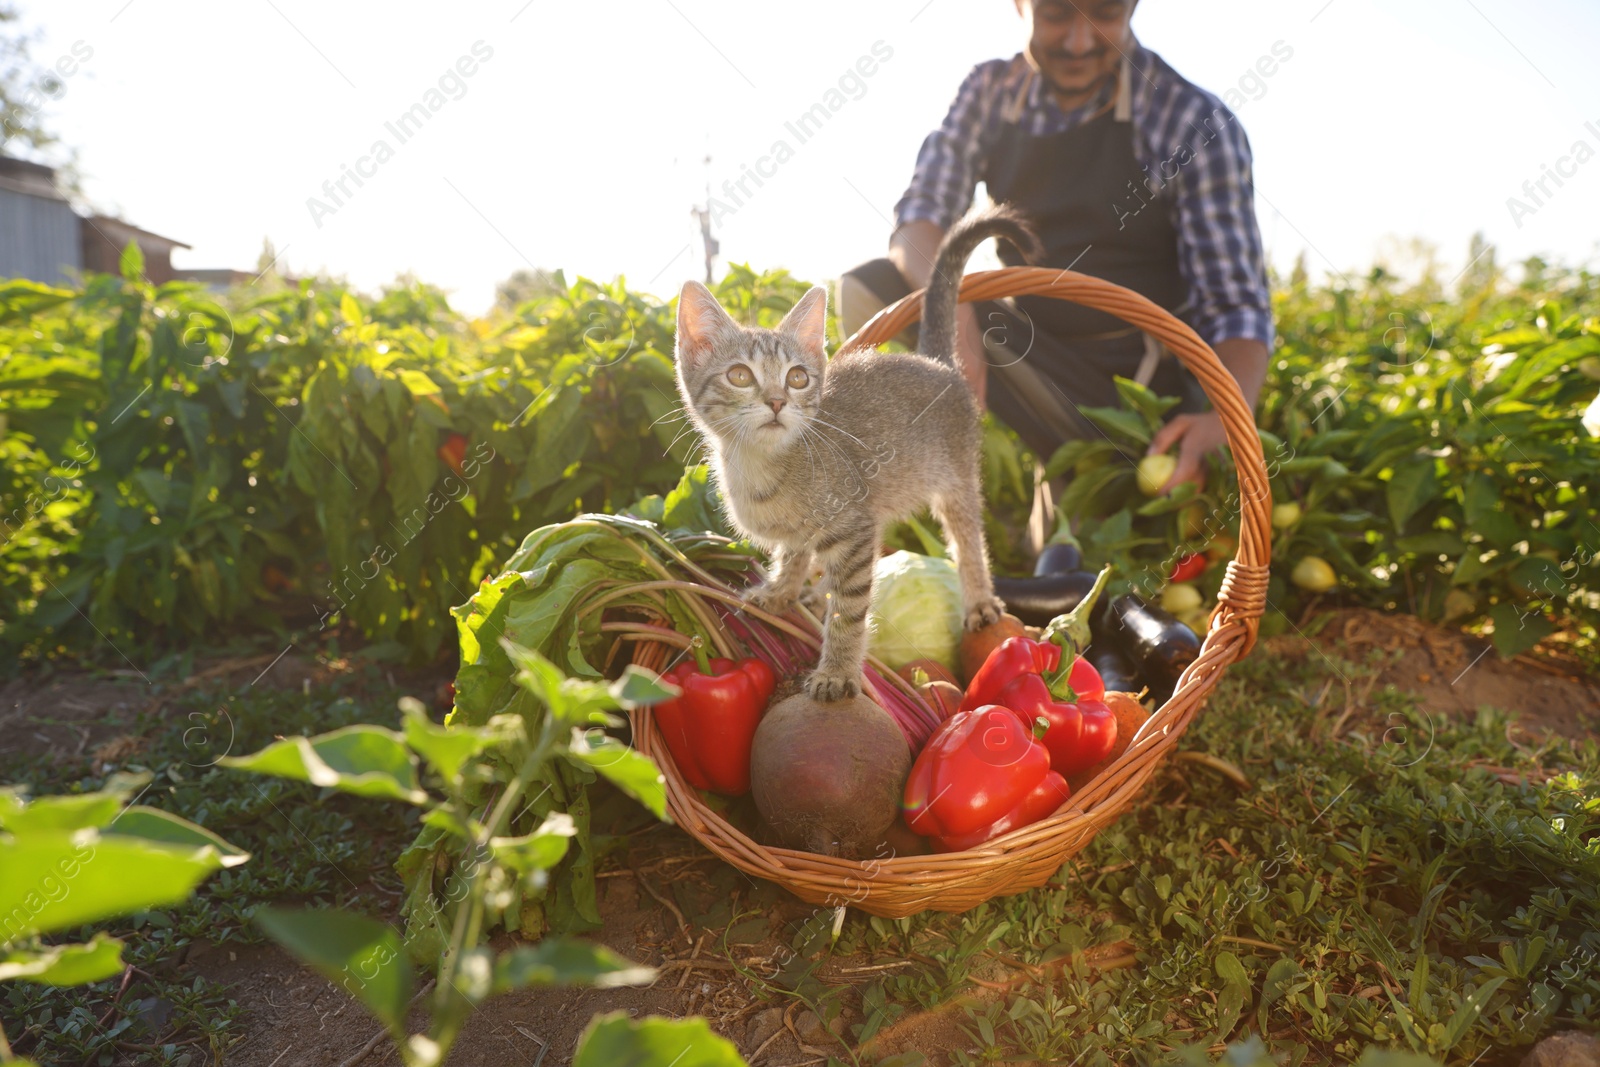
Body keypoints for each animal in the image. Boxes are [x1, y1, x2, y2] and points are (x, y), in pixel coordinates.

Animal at [672, 206, 1036, 703]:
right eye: (740, 376)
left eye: (798, 378)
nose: (776, 402)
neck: (762, 467)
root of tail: (935, 362)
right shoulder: (806, 532)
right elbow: (794, 554)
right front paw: (782, 590)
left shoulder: (855, 528)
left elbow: (849, 611)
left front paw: (837, 671)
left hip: (957, 480)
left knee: (968, 543)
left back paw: (979, 599)